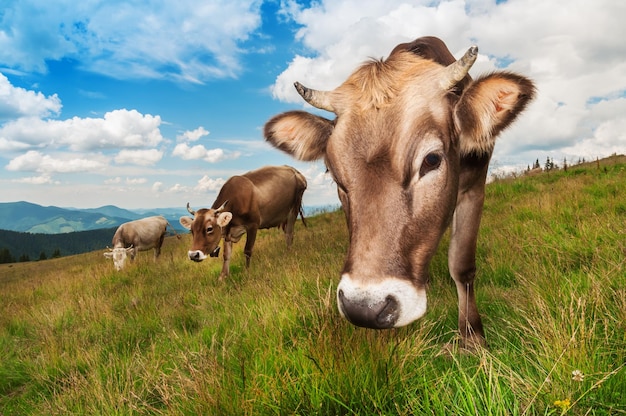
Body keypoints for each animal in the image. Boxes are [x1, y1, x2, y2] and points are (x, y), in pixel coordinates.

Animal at [264, 36, 536, 348]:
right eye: (333, 173)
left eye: (432, 160)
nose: (364, 308)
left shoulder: (474, 186)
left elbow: (462, 265)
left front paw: (472, 337)